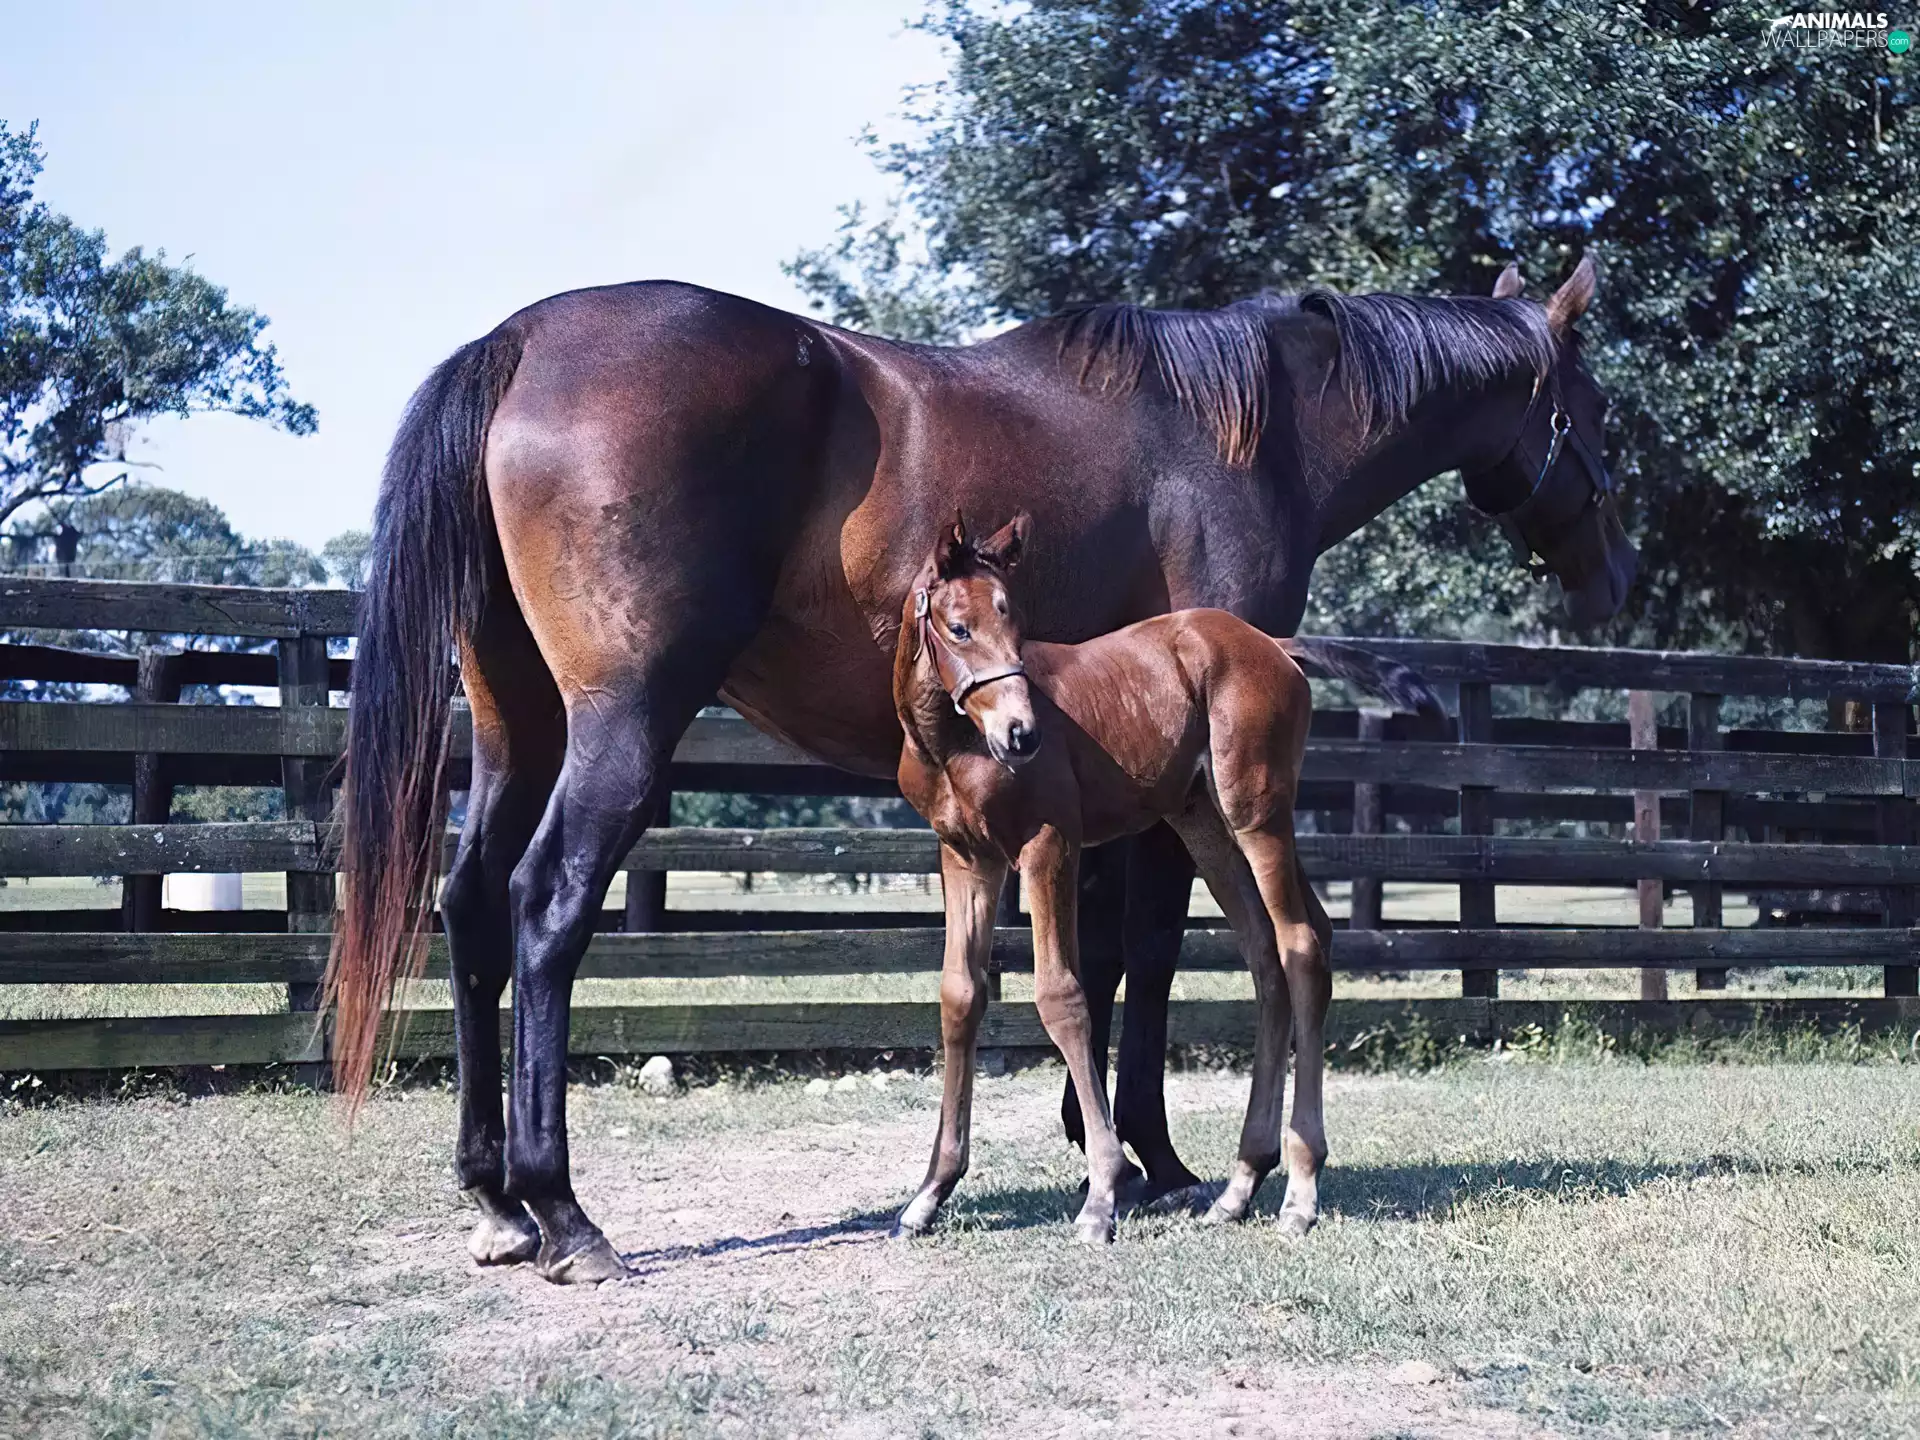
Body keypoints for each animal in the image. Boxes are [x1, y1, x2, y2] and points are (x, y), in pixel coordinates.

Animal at [890, 512, 1331, 1244]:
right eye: (959, 627)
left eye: (1017, 621)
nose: (1022, 734)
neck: (952, 746)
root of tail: (1274, 647)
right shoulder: (965, 856)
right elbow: (960, 996)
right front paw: (930, 1191)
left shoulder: (1049, 844)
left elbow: (1063, 997)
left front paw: (1105, 1191)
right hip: (1203, 824)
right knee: (1268, 953)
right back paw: (1240, 1185)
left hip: (1257, 812)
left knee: (1301, 947)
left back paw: (1299, 1193)